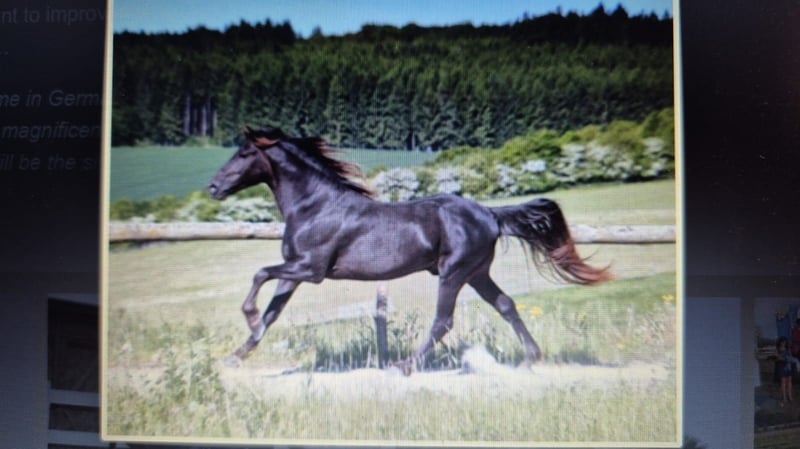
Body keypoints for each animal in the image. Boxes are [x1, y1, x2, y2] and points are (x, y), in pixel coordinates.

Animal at [208, 127, 610, 372]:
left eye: (244, 153)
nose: (213, 187)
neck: (314, 206)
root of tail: (490, 214)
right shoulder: (294, 270)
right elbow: (274, 311)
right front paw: (236, 355)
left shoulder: (311, 269)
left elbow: (259, 274)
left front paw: (249, 318)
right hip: (477, 273)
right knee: (506, 305)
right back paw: (531, 358)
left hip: (454, 273)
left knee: (443, 321)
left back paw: (404, 366)